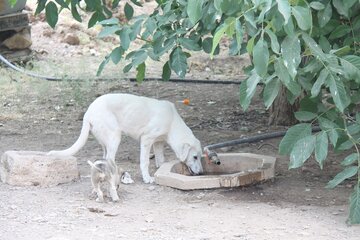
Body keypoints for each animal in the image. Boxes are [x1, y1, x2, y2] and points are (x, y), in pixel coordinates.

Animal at [48, 93, 202, 183]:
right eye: (195, 157)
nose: (201, 173)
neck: (172, 123)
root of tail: (88, 112)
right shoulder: (147, 139)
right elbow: (145, 161)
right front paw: (147, 178)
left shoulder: (158, 142)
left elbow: (161, 160)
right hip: (115, 136)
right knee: (110, 158)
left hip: (106, 141)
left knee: (104, 158)